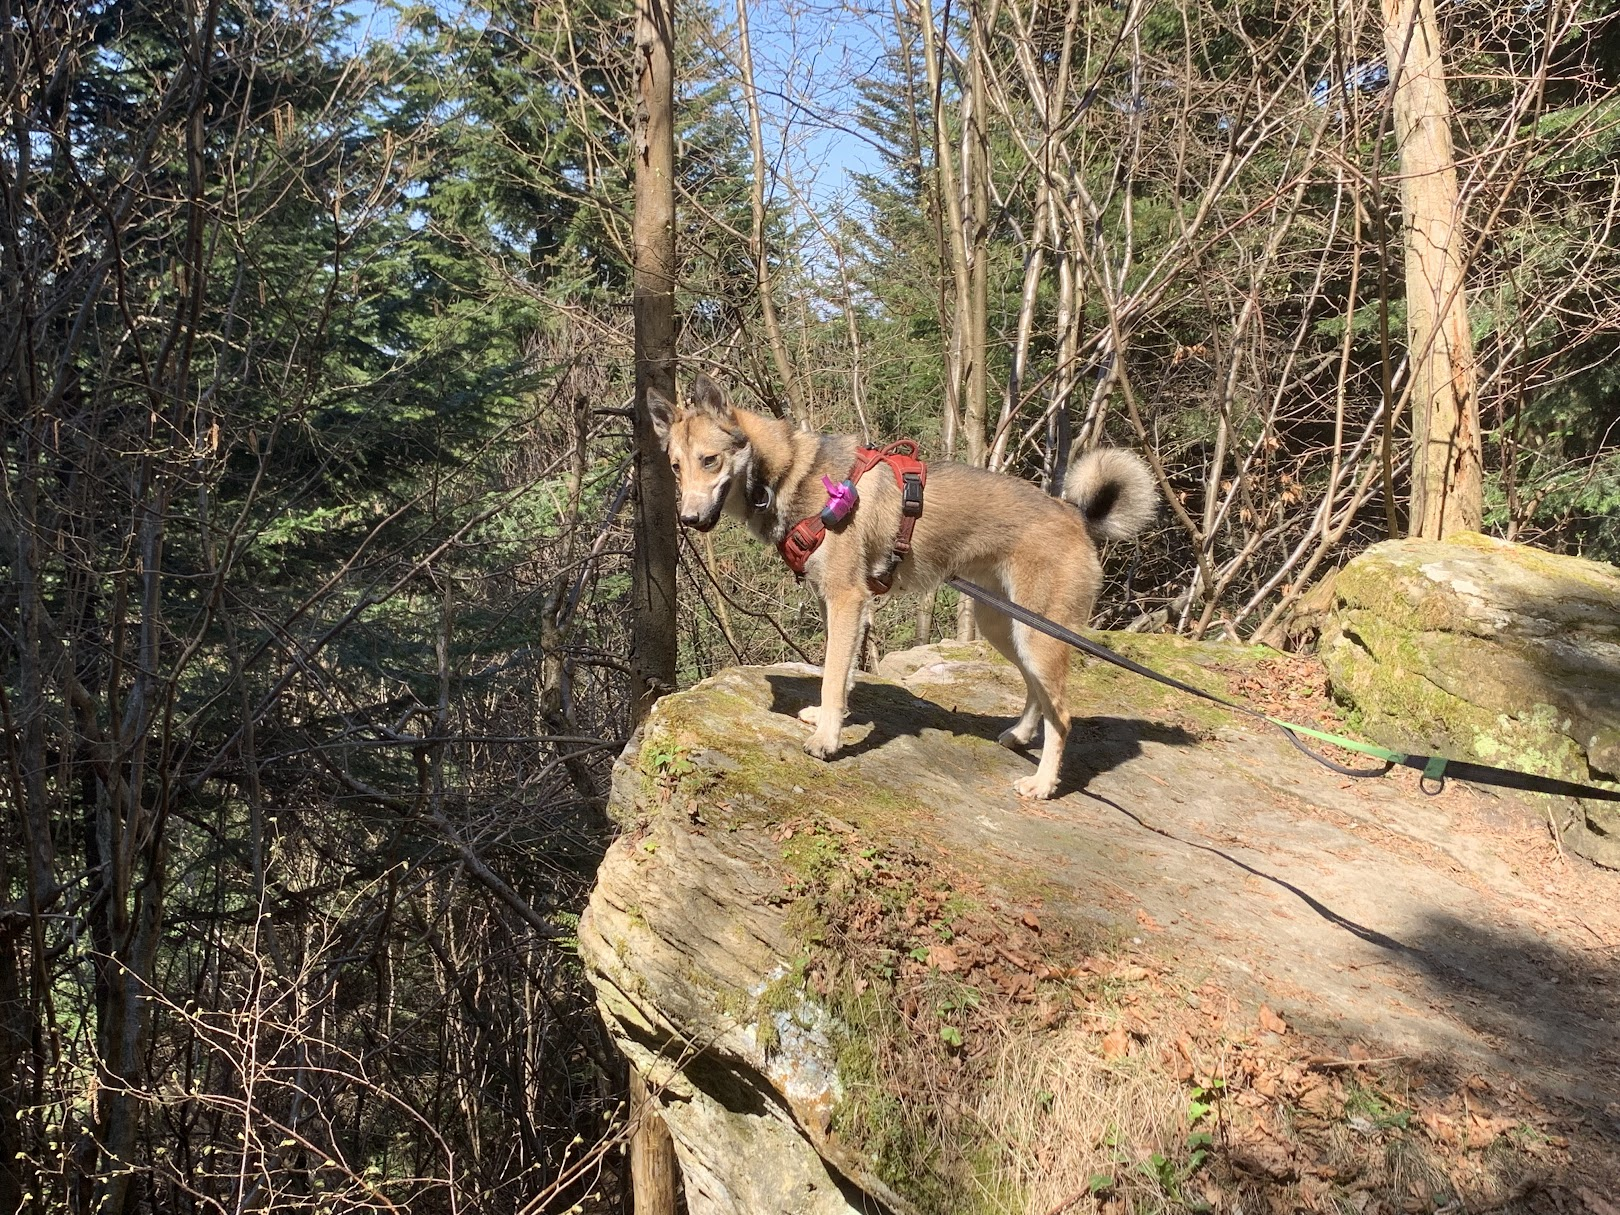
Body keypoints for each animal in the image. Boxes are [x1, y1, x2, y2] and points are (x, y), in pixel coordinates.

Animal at [651, 375, 1159, 803]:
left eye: (710, 460)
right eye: (675, 467)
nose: (688, 519)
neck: (790, 473)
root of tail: (1074, 514)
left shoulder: (847, 599)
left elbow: (833, 675)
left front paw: (828, 740)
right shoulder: (838, 605)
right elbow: (841, 672)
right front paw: (831, 717)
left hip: (1038, 636)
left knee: (1063, 717)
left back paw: (1043, 783)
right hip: (1008, 629)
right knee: (1039, 694)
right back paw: (1019, 736)